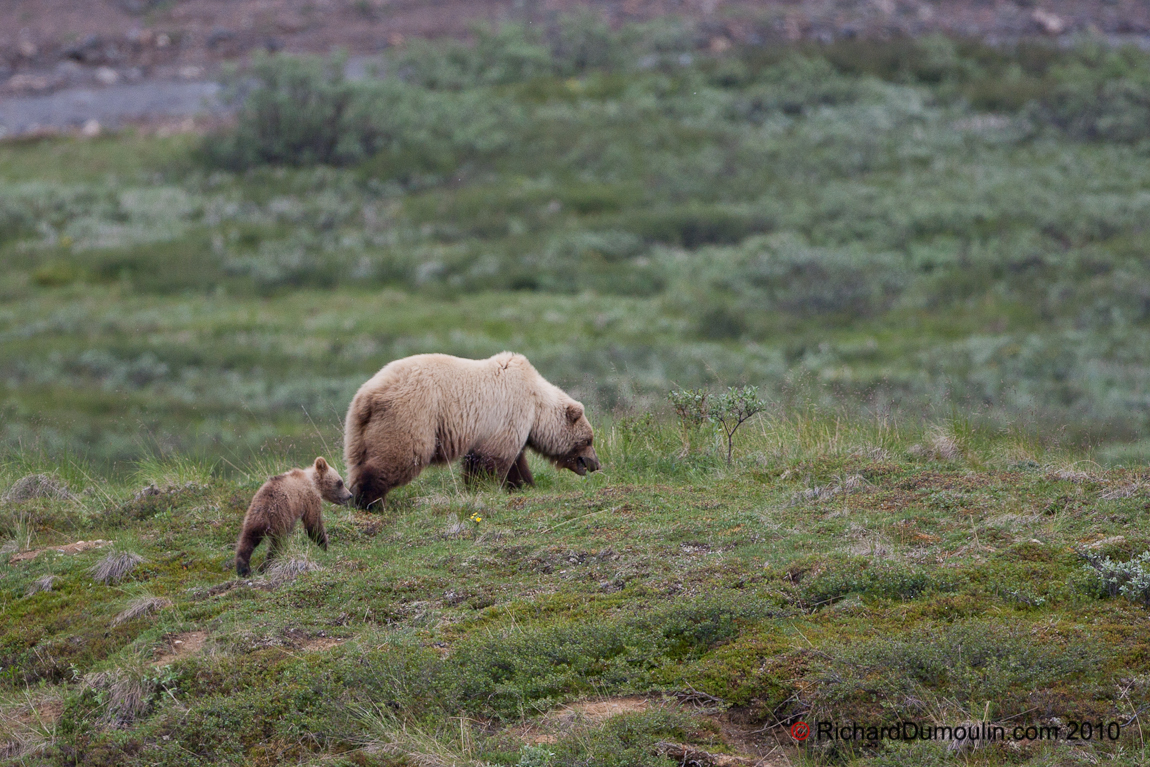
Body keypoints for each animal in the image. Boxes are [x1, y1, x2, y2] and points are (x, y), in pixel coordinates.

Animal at [342, 351, 602, 510]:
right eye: (588, 440)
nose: (596, 463)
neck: (536, 405)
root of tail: (368, 395)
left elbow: (514, 463)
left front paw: (523, 485)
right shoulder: (507, 413)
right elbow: (492, 460)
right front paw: (488, 488)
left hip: (358, 429)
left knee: (358, 460)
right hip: (410, 415)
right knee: (399, 455)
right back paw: (371, 501)